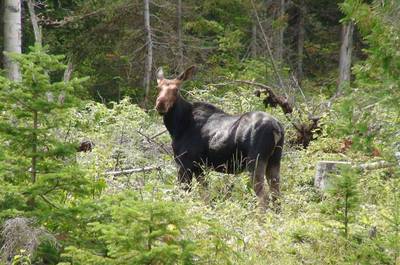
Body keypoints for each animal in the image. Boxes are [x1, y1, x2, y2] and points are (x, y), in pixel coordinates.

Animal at [156, 65, 284, 208]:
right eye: (158, 88)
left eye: (176, 89)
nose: (160, 104)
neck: (177, 126)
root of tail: (277, 128)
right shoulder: (200, 167)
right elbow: (205, 197)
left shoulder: (184, 163)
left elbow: (183, 194)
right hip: (275, 160)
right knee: (277, 196)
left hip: (255, 161)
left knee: (263, 197)